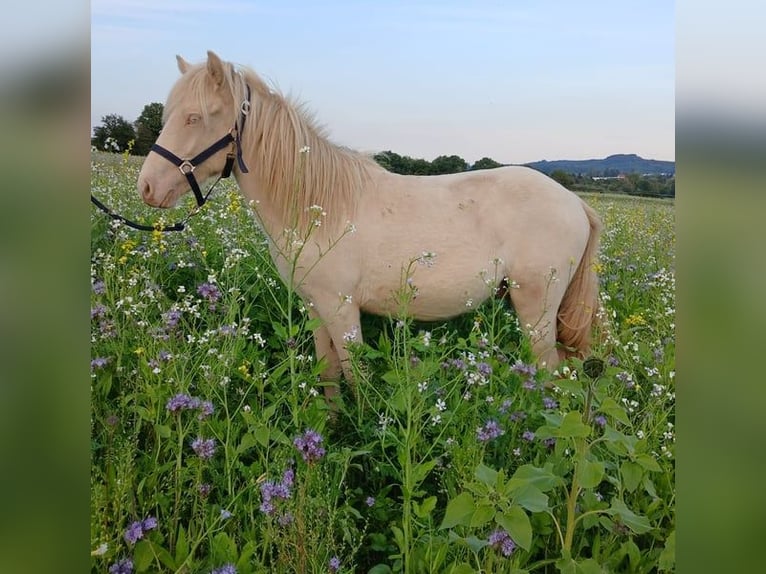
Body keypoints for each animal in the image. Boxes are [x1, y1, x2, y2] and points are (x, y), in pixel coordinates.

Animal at [137, 51, 602, 400]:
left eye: (196, 117)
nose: (148, 187)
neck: (317, 206)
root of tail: (576, 203)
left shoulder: (342, 309)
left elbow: (355, 376)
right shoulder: (315, 307)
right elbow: (328, 373)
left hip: (536, 310)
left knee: (550, 374)